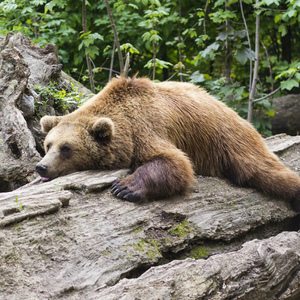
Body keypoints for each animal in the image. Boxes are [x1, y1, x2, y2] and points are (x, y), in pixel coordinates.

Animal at [36, 76, 300, 210]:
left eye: (66, 148)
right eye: (48, 145)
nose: (42, 167)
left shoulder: (146, 129)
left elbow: (174, 163)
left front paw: (124, 187)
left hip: (227, 139)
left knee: (262, 170)